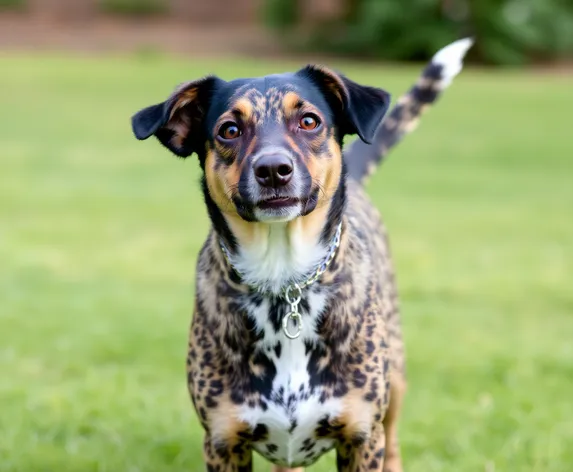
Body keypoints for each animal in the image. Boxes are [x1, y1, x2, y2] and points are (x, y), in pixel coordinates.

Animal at [132, 38, 472, 470]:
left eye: (309, 121)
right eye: (229, 130)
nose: (273, 169)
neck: (284, 279)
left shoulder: (361, 438)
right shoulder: (223, 442)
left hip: (395, 380)